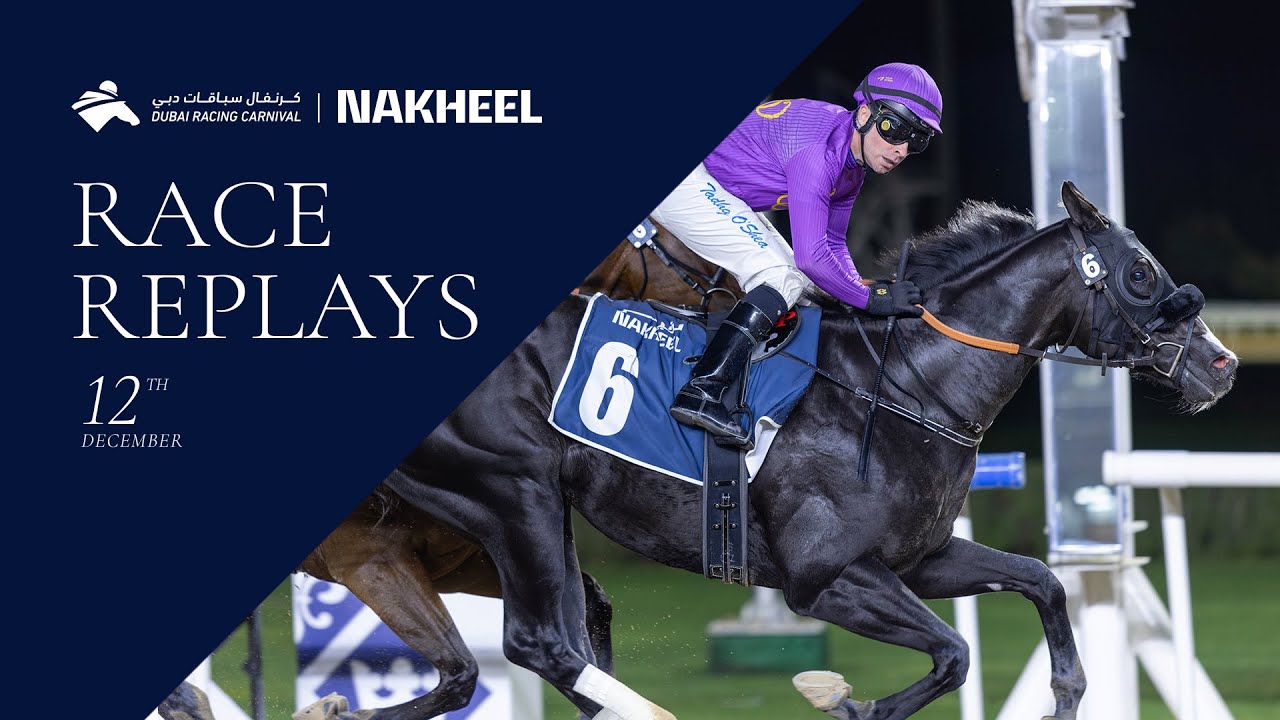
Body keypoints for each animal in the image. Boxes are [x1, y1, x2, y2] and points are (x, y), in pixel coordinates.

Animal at [382, 182, 1238, 720]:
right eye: (1140, 272)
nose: (1222, 363)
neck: (908, 386)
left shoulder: (919, 559)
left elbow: (1043, 583)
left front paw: (1065, 692)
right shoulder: (826, 577)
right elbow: (954, 653)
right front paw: (847, 701)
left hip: (525, 512)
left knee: (535, 644)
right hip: (512, 492)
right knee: (538, 643)